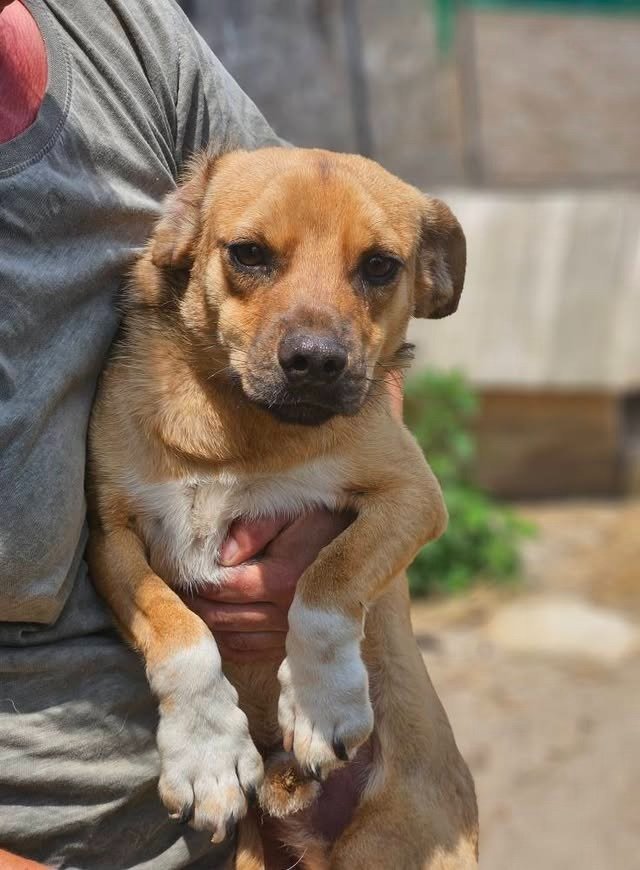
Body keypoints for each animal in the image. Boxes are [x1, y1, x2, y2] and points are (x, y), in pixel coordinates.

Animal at [87, 147, 478, 869]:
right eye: (248, 253)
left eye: (380, 265)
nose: (316, 362)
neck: (240, 427)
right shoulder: (112, 536)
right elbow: (177, 627)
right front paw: (208, 754)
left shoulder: (411, 495)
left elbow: (328, 581)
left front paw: (322, 703)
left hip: (384, 845)